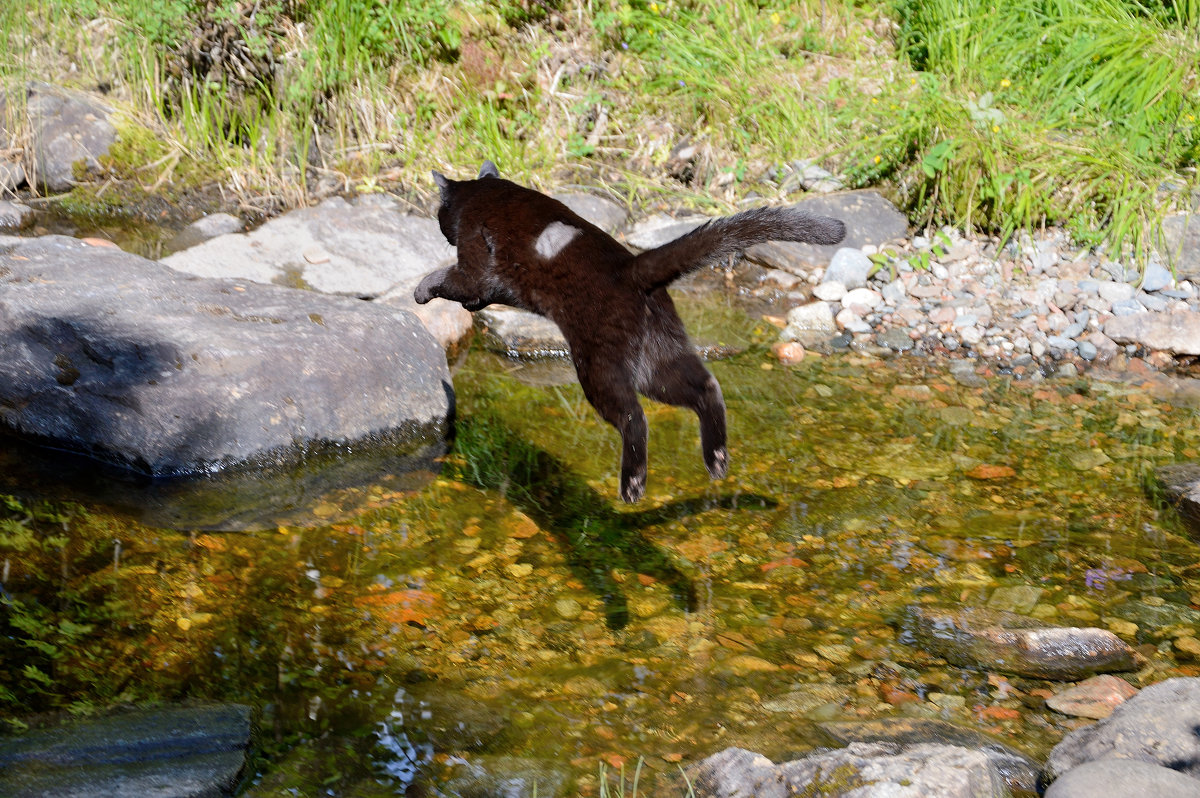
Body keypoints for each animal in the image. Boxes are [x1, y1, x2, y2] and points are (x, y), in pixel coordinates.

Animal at [417, 158, 849, 501]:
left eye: (440, 215)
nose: (439, 225)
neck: (486, 193)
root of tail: (633, 268)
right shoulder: (493, 285)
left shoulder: (475, 264)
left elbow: (451, 278)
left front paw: (421, 290)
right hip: (657, 360)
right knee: (707, 387)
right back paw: (717, 461)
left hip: (599, 365)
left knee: (633, 416)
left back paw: (633, 486)